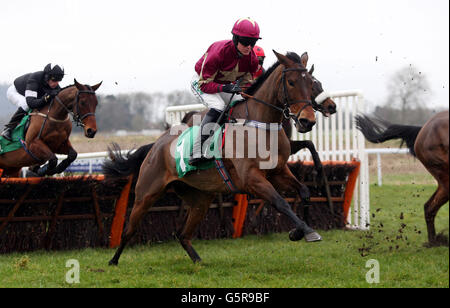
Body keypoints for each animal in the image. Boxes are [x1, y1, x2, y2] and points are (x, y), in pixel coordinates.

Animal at [107, 50, 322, 264]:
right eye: (291, 82)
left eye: (311, 83)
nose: (307, 121)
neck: (260, 124)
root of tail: (155, 145)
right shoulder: (252, 178)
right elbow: (280, 202)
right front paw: (308, 231)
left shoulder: (277, 171)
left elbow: (304, 191)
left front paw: (298, 231)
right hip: (146, 194)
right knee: (129, 230)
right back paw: (113, 261)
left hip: (200, 199)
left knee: (183, 235)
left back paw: (198, 262)